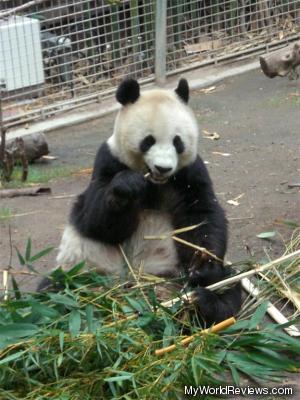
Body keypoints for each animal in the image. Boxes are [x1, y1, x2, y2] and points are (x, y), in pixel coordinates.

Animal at [54, 77, 241, 324]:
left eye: (177, 142)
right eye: (148, 141)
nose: (163, 167)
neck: (155, 182)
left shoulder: (189, 173)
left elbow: (202, 216)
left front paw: (203, 265)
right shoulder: (109, 159)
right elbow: (95, 221)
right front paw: (127, 186)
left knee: (228, 284)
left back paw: (205, 302)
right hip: (81, 269)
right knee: (56, 291)